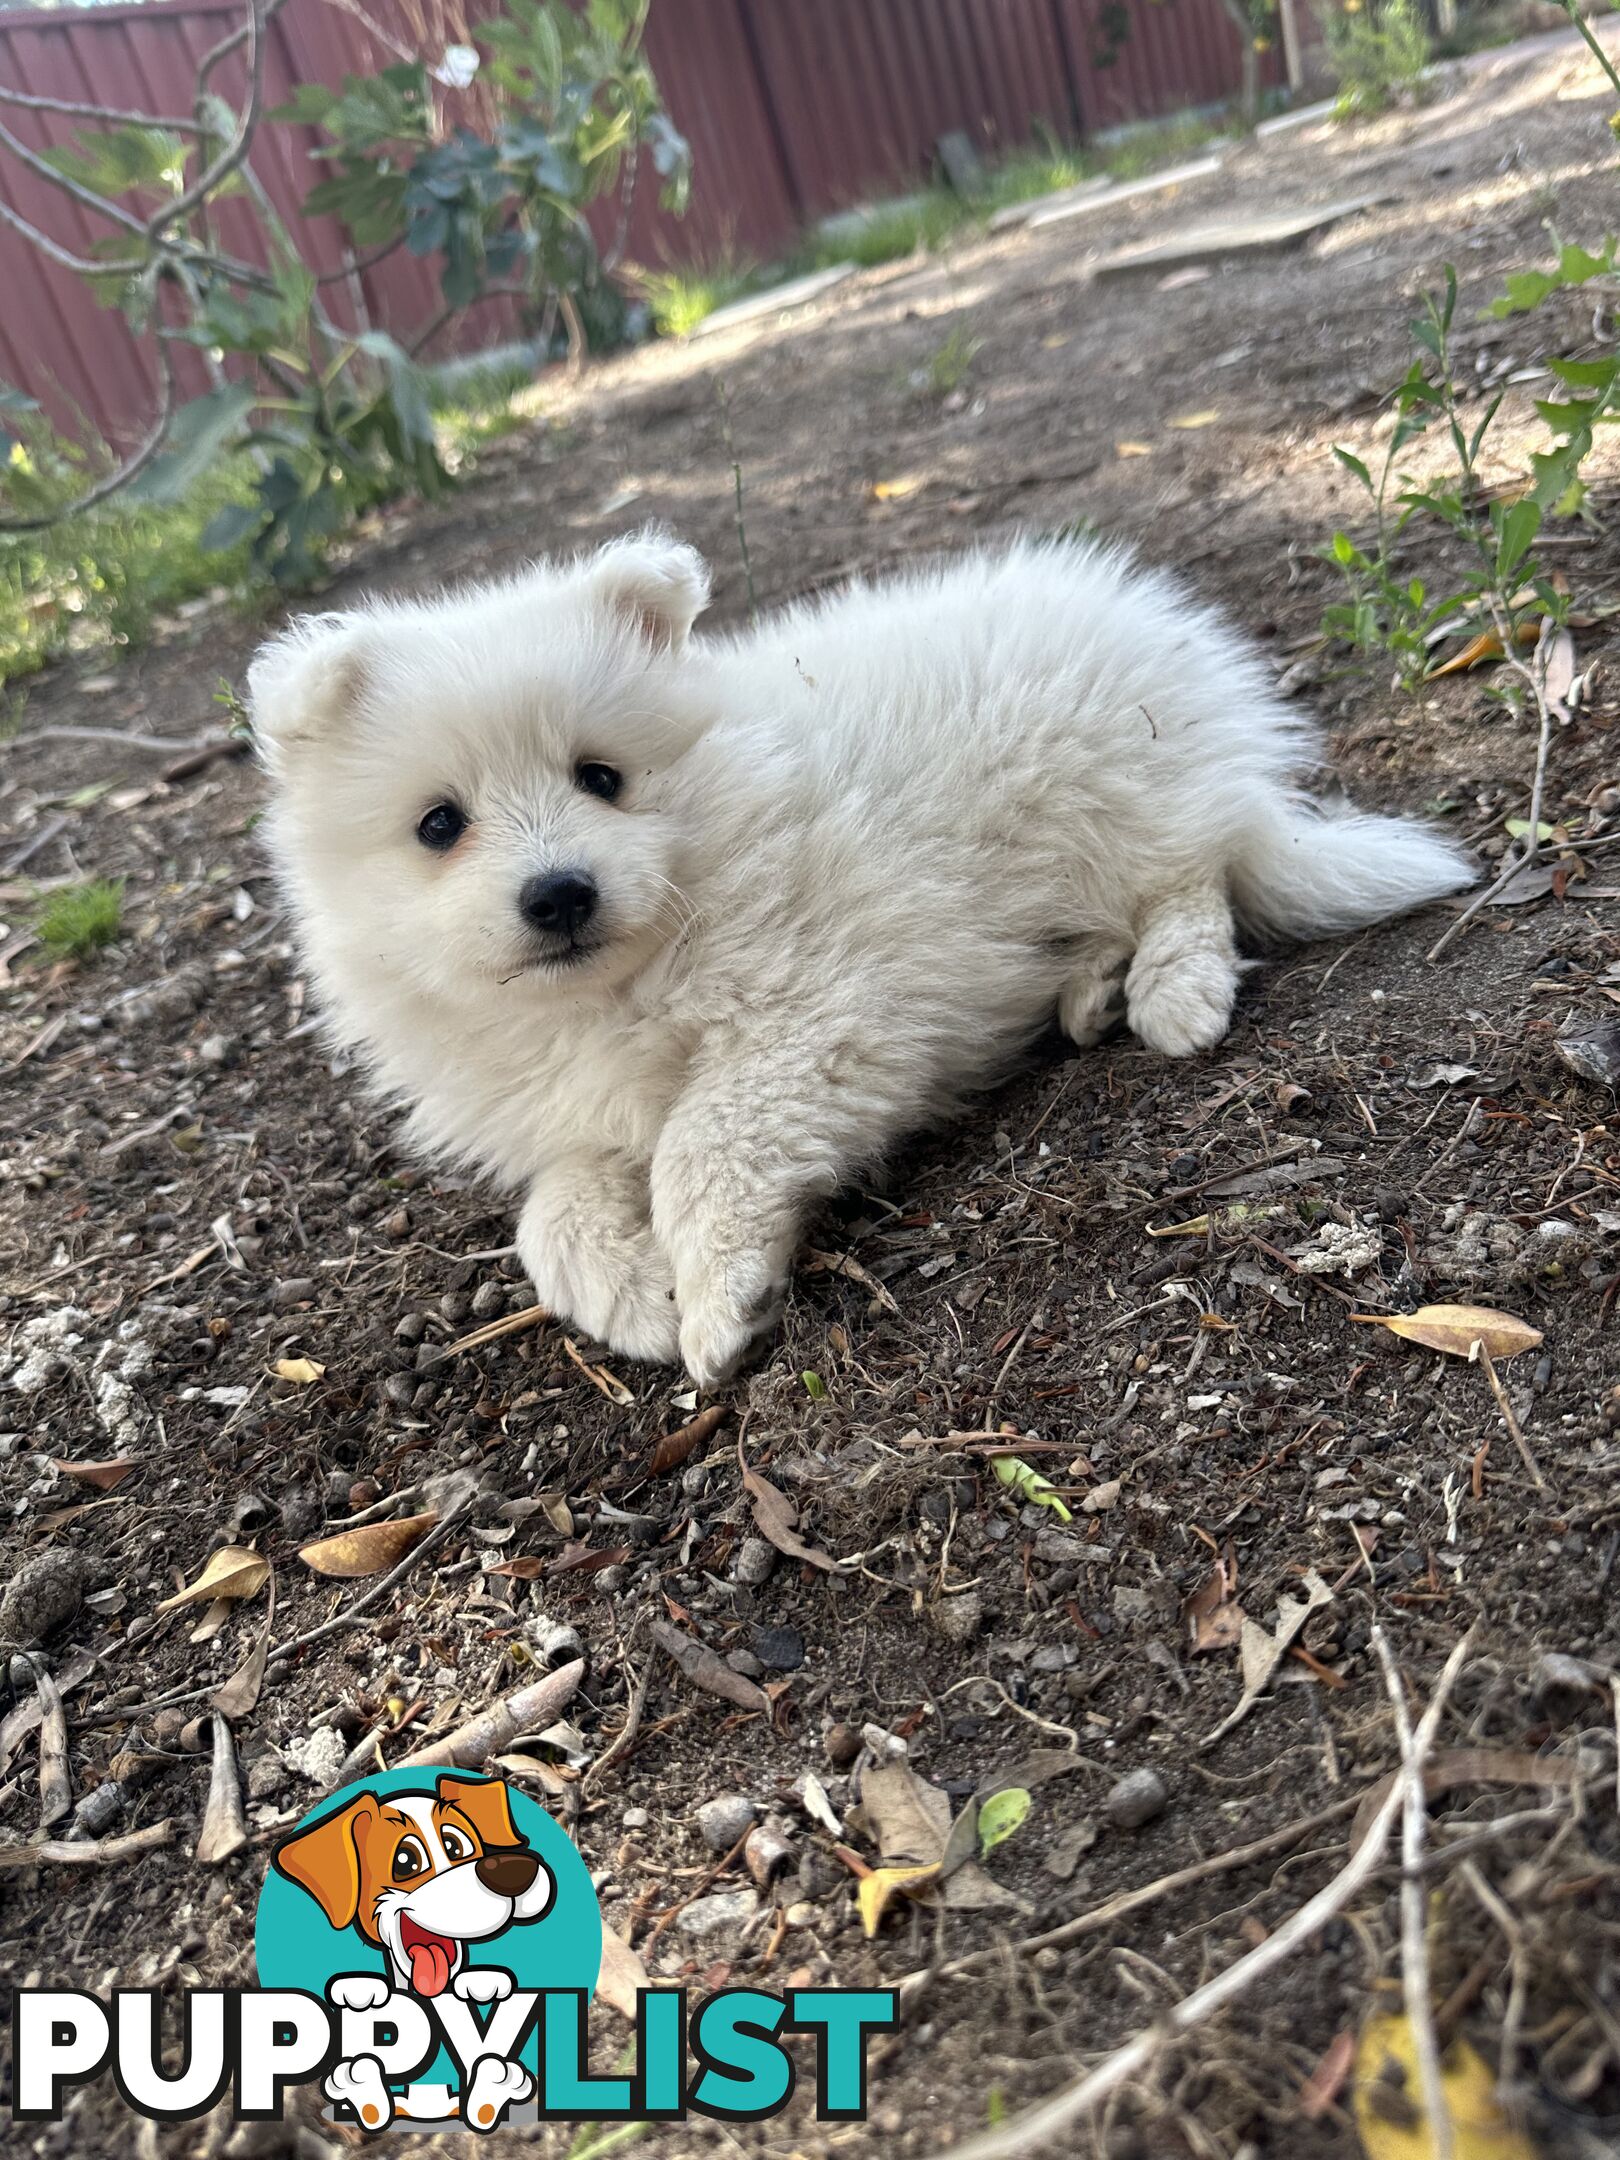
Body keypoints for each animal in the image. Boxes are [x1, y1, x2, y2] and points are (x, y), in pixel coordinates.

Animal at [250, 537, 1468, 1382]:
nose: (559, 892)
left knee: (1195, 871)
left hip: (1108, 783)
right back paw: (1087, 990)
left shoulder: (825, 1015)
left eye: (601, 777)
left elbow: (704, 1141)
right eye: (438, 825)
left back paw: (1173, 988)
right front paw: (636, 1295)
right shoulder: (583, 1112)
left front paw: (717, 1300)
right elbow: (547, 1213)